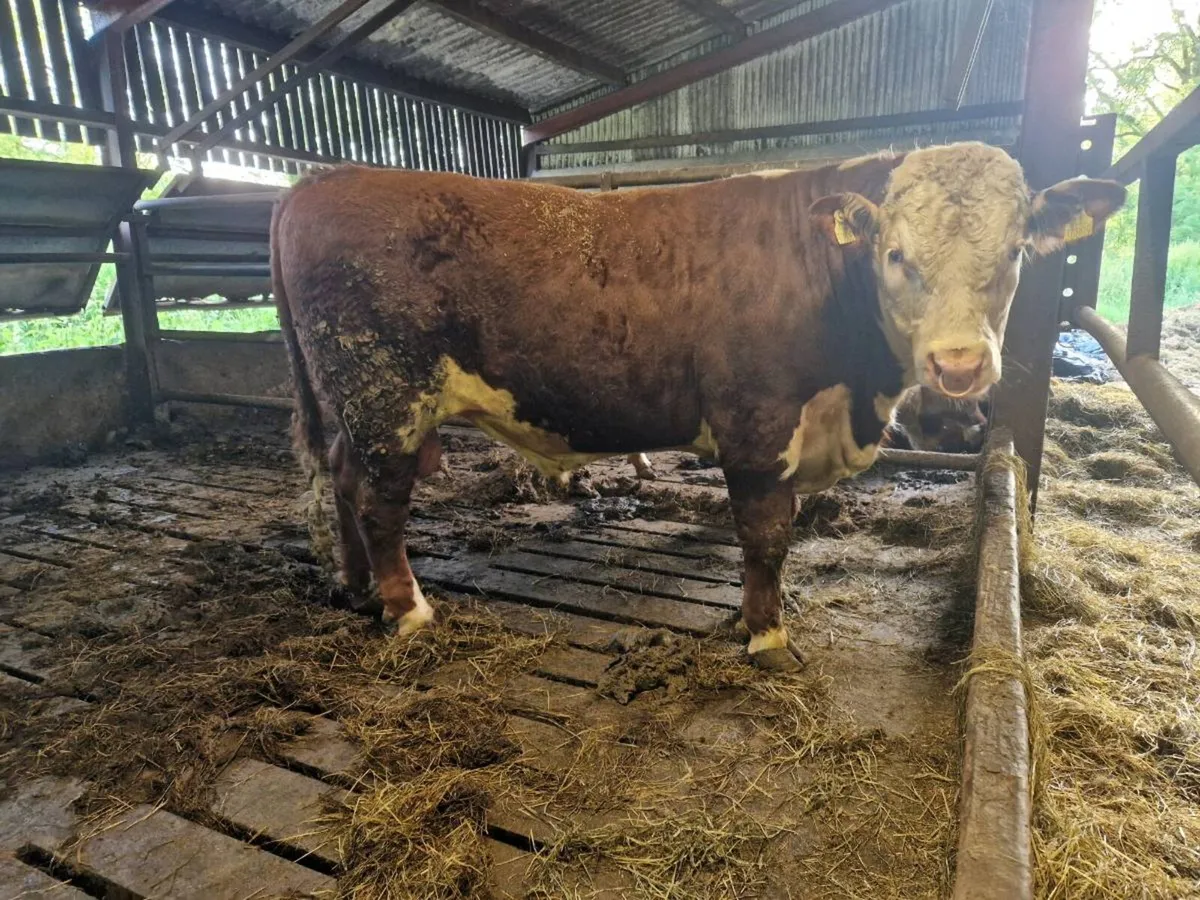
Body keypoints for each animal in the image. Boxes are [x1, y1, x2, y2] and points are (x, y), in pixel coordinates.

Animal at [271, 142, 1124, 672]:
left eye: (1014, 252)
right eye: (895, 254)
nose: (960, 365)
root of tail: (323, 180)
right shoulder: (758, 425)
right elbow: (767, 537)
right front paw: (767, 636)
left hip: (355, 405)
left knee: (341, 483)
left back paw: (355, 587)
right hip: (386, 394)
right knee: (379, 502)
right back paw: (407, 609)